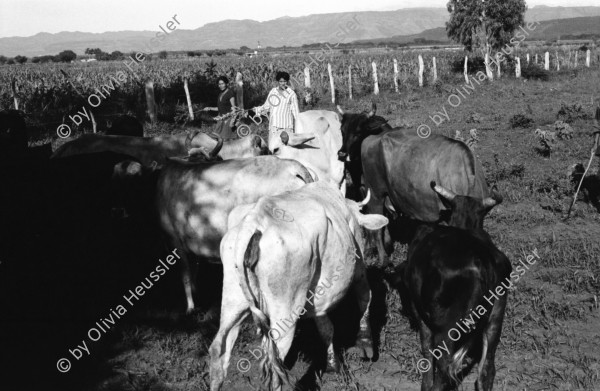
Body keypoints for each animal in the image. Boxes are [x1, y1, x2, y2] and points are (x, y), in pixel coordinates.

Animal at [211, 182, 390, 390]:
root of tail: (254, 221)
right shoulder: (359, 268)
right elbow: (365, 298)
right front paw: (366, 344)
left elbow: (326, 328)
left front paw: (333, 365)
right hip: (285, 312)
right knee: (275, 361)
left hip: (233, 301)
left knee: (219, 349)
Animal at [336, 105, 490, 268]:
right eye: (342, 131)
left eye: (358, 131)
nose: (342, 154)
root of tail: (375, 138)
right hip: (376, 194)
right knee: (377, 227)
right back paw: (383, 261)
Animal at [396, 184, 508, 391]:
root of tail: (482, 261)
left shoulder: (419, 310)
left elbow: (426, 348)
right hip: (496, 316)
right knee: (487, 370)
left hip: (448, 329)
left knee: (444, 369)